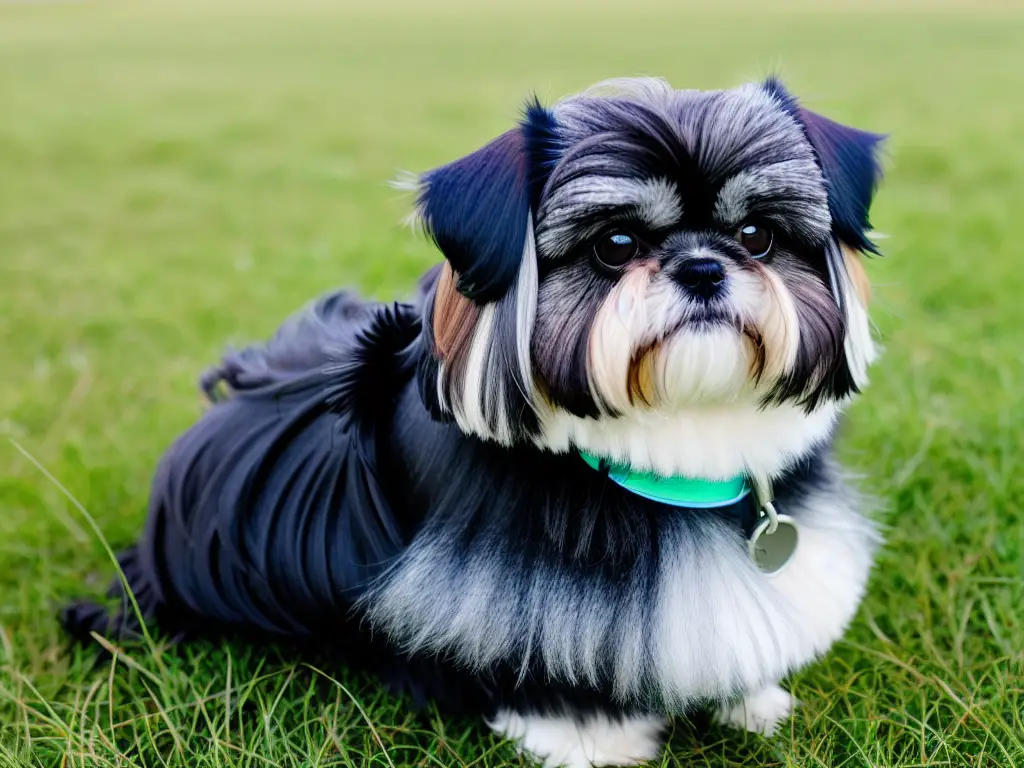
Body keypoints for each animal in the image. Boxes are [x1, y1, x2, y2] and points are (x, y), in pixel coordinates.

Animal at [66, 79, 888, 768]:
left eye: (756, 236)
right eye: (615, 246)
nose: (704, 268)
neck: (670, 443)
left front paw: (753, 701)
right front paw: (598, 743)